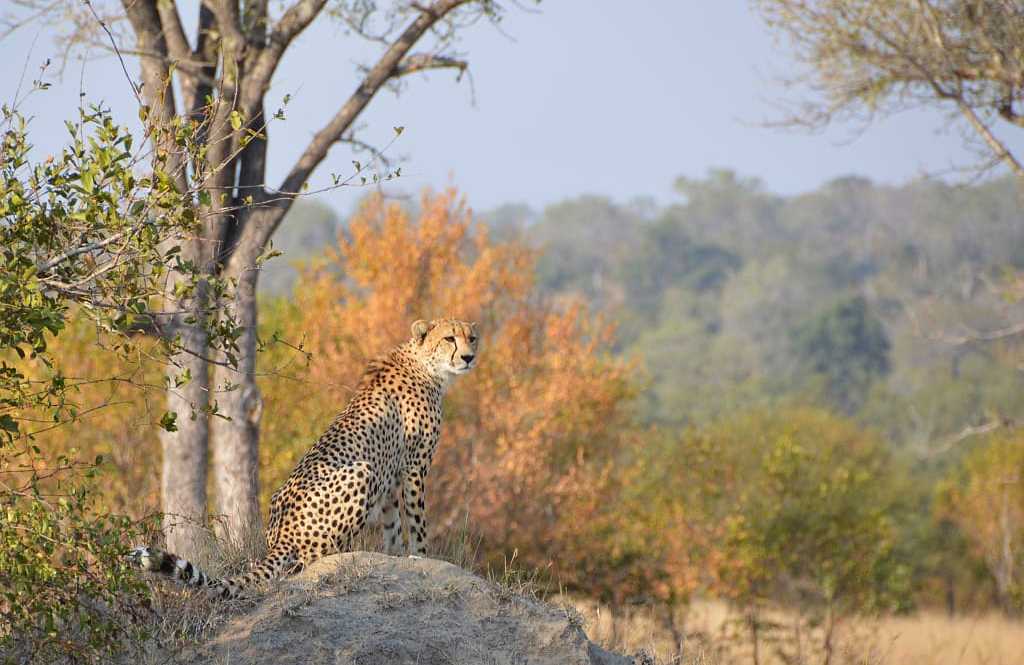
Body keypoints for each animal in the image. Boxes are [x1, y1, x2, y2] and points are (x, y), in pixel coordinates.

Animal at [127, 318, 479, 598]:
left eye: (471, 337)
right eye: (449, 338)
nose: (469, 357)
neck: (426, 365)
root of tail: (279, 537)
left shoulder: (391, 477)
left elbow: (392, 526)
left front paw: (394, 558)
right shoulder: (414, 467)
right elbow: (417, 524)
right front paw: (423, 557)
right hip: (362, 471)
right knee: (305, 563)